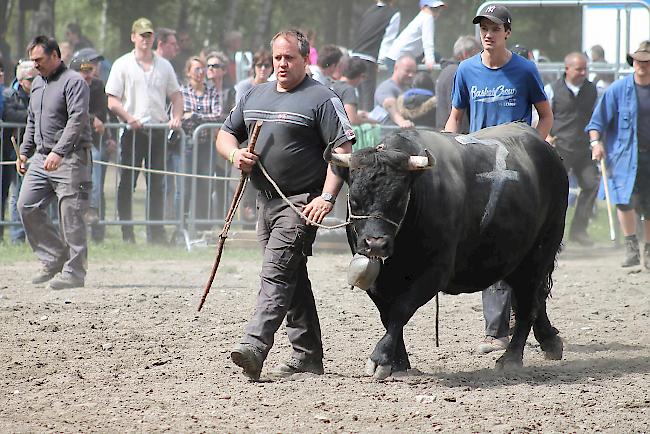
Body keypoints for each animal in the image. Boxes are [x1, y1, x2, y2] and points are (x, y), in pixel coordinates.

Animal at [326, 120, 564, 378]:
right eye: (355, 200)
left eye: (398, 199)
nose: (376, 244)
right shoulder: (378, 281)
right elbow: (386, 314)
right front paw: (399, 363)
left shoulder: (436, 271)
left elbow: (401, 309)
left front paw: (380, 359)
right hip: (515, 259)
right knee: (533, 298)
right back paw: (550, 341)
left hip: (541, 251)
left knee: (529, 301)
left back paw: (511, 357)